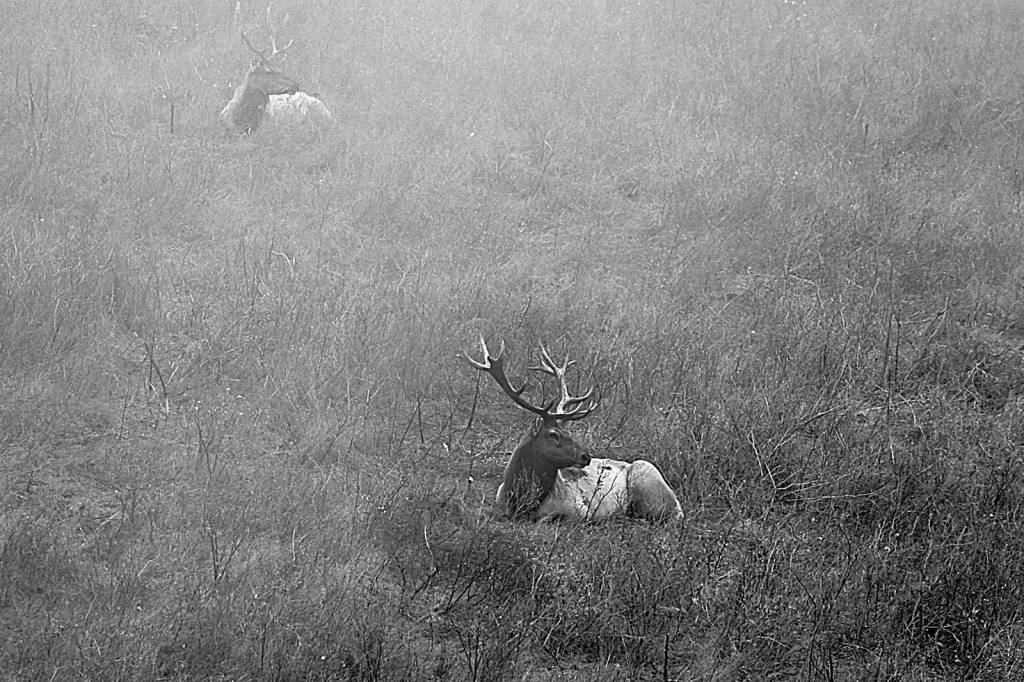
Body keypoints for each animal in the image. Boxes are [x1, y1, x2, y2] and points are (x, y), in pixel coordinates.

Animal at [463, 337, 684, 523]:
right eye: (554, 434)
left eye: (569, 433)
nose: (586, 456)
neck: (518, 499)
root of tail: (678, 503)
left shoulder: (579, 510)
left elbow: (549, 518)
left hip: (648, 478)